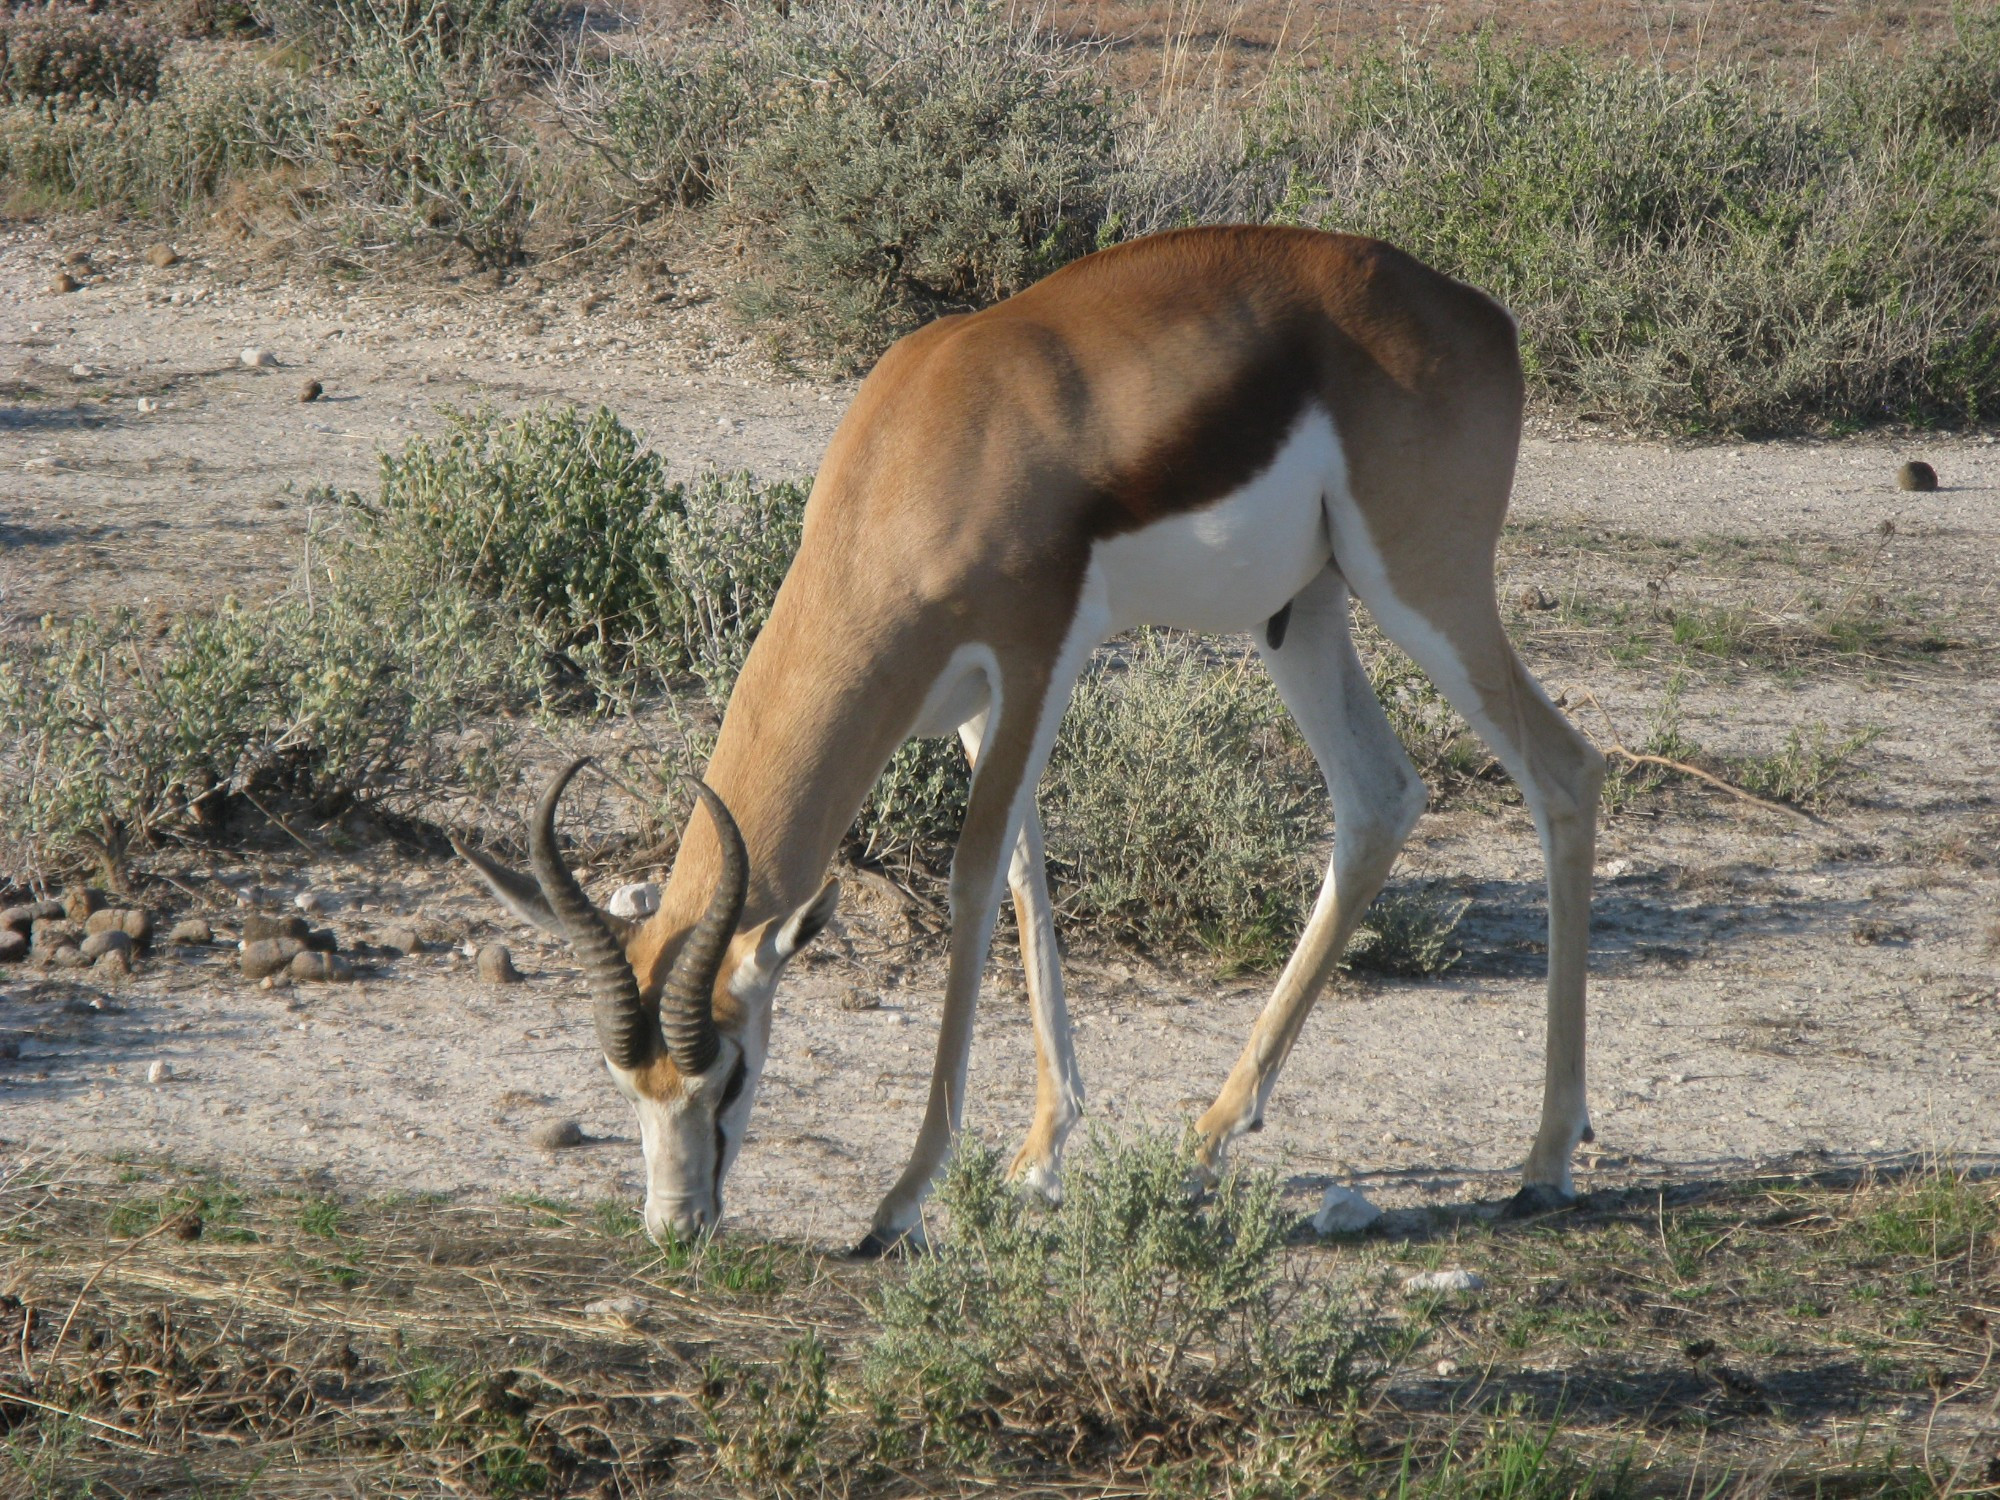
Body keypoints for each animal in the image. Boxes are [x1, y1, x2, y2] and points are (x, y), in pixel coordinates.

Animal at [458, 226, 1608, 1256]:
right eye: (624, 1079)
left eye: (729, 1071)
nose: (675, 1225)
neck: (923, 450)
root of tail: (1479, 315)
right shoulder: (973, 698)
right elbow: (1024, 874)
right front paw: (1039, 1160)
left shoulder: (1036, 657)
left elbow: (972, 880)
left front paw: (901, 1202)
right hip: (1302, 611)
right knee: (1378, 799)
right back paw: (1202, 1145)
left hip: (1421, 585)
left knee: (1564, 770)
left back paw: (1544, 1163)